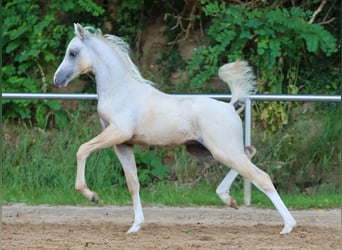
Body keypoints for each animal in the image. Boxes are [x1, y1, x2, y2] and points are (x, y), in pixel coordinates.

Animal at [54, 23, 296, 234]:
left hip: (223, 151)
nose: (57, 79)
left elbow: (82, 150)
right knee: (250, 153)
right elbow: (133, 183)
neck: (120, 91)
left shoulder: (117, 132)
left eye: (73, 52)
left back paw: (288, 226)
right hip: (206, 151)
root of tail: (229, 106)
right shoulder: (123, 144)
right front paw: (135, 226)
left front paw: (91, 195)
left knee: (262, 177)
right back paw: (229, 199)